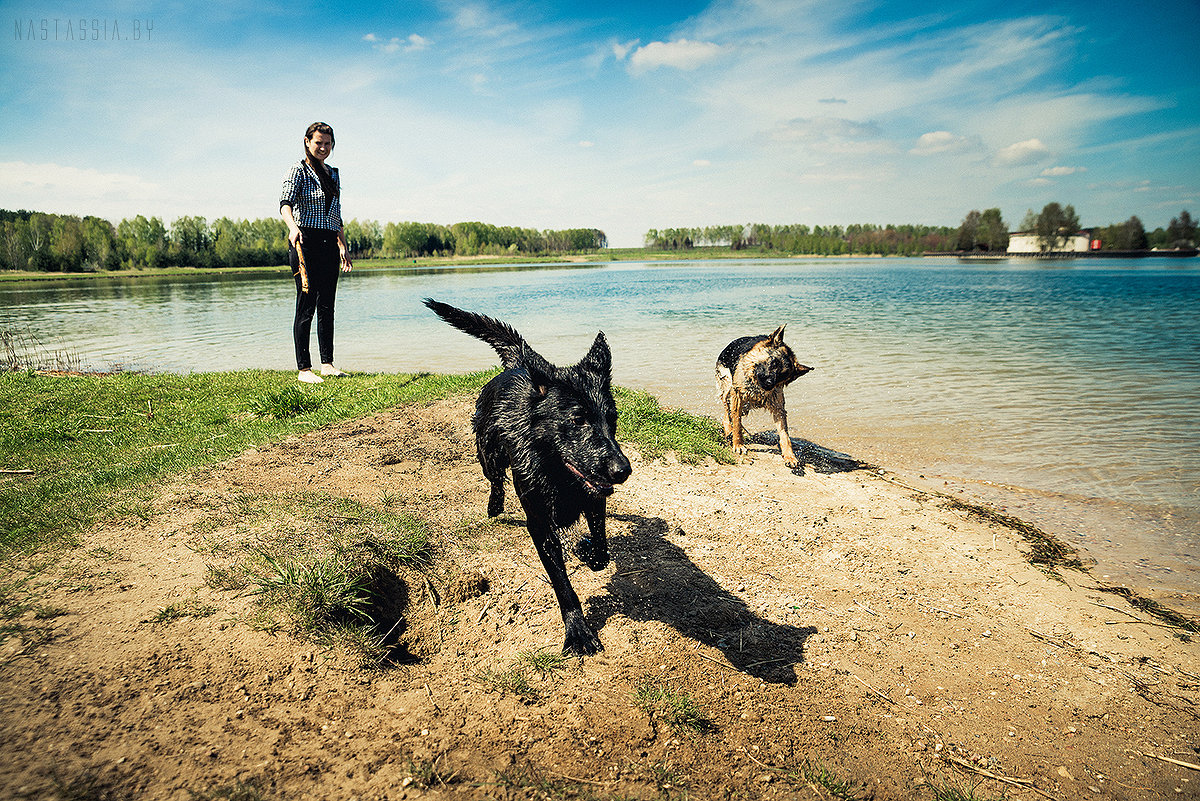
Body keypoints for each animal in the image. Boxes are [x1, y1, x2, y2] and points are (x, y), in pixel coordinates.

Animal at [422, 299, 633, 657]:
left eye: (612, 418)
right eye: (578, 419)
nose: (623, 470)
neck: (556, 472)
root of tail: (520, 364)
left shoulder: (594, 501)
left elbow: (602, 552)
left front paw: (586, 550)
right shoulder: (540, 523)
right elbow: (562, 583)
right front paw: (577, 630)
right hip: (489, 456)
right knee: (495, 480)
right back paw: (494, 506)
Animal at [710, 326, 816, 470]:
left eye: (783, 375)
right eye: (774, 362)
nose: (769, 383)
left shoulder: (778, 408)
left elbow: (785, 435)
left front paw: (790, 456)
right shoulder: (737, 396)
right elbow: (736, 422)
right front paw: (738, 444)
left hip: (745, 406)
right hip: (728, 391)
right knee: (727, 415)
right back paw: (729, 430)